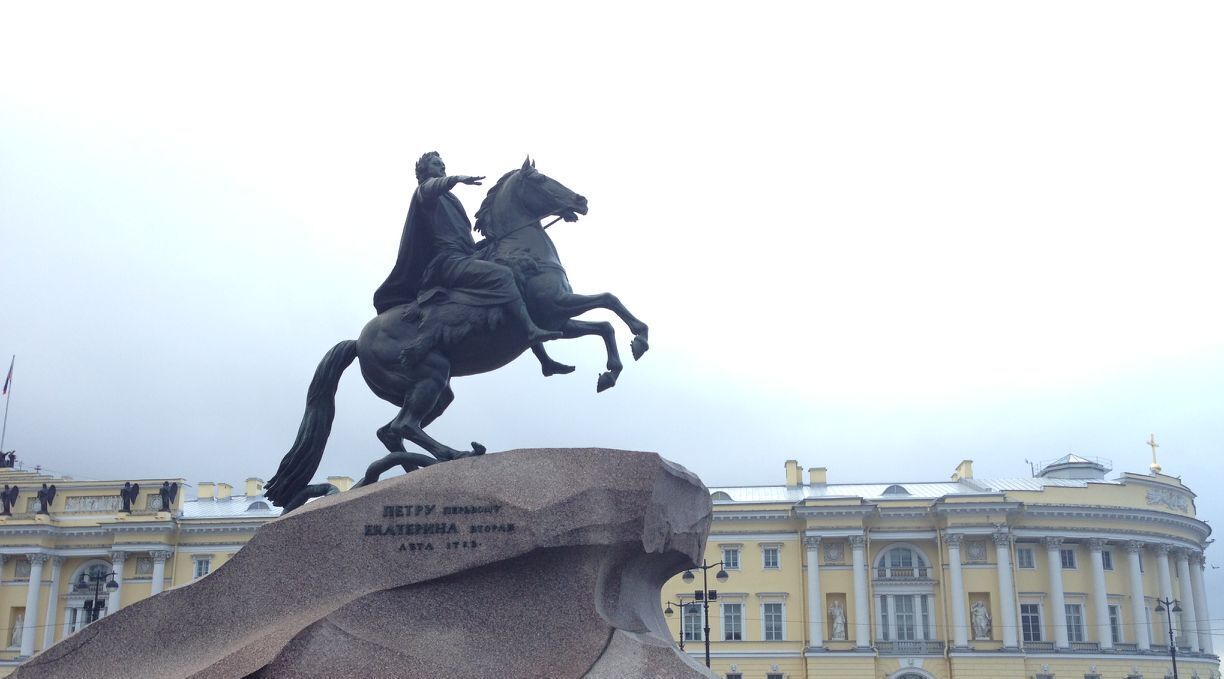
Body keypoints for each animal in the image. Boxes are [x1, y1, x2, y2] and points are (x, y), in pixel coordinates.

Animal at [265, 159, 651, 508]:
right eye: (541, 179)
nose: (581, 200)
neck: (520, 248)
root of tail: (357, 343)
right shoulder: (557, 306)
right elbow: (609, 303)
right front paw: (636, 343)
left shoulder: (561, 321)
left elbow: (604, 322)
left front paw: (613, 368)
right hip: (430, 376)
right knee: (404, 425)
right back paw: (454, 454)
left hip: (436, 391)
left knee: (389, 431)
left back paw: (414, 468)